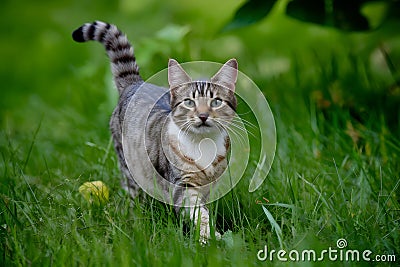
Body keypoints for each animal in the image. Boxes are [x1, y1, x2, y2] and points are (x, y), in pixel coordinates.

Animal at [72, 21, 238, 243]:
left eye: (216, 102)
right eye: (189, 102)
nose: (203, 116)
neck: (202, 145)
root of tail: (135, 84)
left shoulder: (211, 184)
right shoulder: (182, 184)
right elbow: (198, 214)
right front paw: (207, 238)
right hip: (129, 165)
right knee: (134, 195)